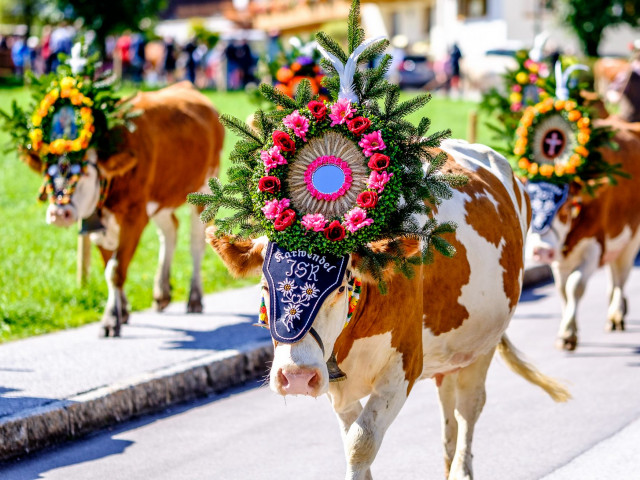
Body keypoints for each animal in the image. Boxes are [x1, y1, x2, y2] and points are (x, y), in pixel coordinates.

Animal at [20, 81, 225, 338]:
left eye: (84, 173)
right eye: (48, 173)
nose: (59, 213)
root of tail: (187, 86)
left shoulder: (135, 217)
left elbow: (116, 270)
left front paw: (110, 320)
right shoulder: (98, 224)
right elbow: (109, 266)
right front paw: (122, 310)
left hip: (206, 189)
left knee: (197, 243)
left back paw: (195, 298)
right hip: (161, 197)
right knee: (170, 230)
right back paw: (162, 293)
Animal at [206, 137, 568, 478]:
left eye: (342, 286)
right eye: (266, 286)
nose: (297, 377)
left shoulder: (403, 367)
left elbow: (361, 443)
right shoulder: (335, 382)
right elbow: (351, 440)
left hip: (483, 344)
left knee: (469, 406)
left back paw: (461, 469)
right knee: (448, 407)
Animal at [524, 116, 640, 348]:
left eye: (567, 207)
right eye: (529, 207)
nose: (541, 250)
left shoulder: (594, 247)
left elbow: (574, 286)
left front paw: (567, 334)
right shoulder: (559, 258)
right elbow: (562, 290)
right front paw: (570, 327)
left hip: (632, 238)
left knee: (622, 275)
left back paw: (616, 314)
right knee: (614, 273)